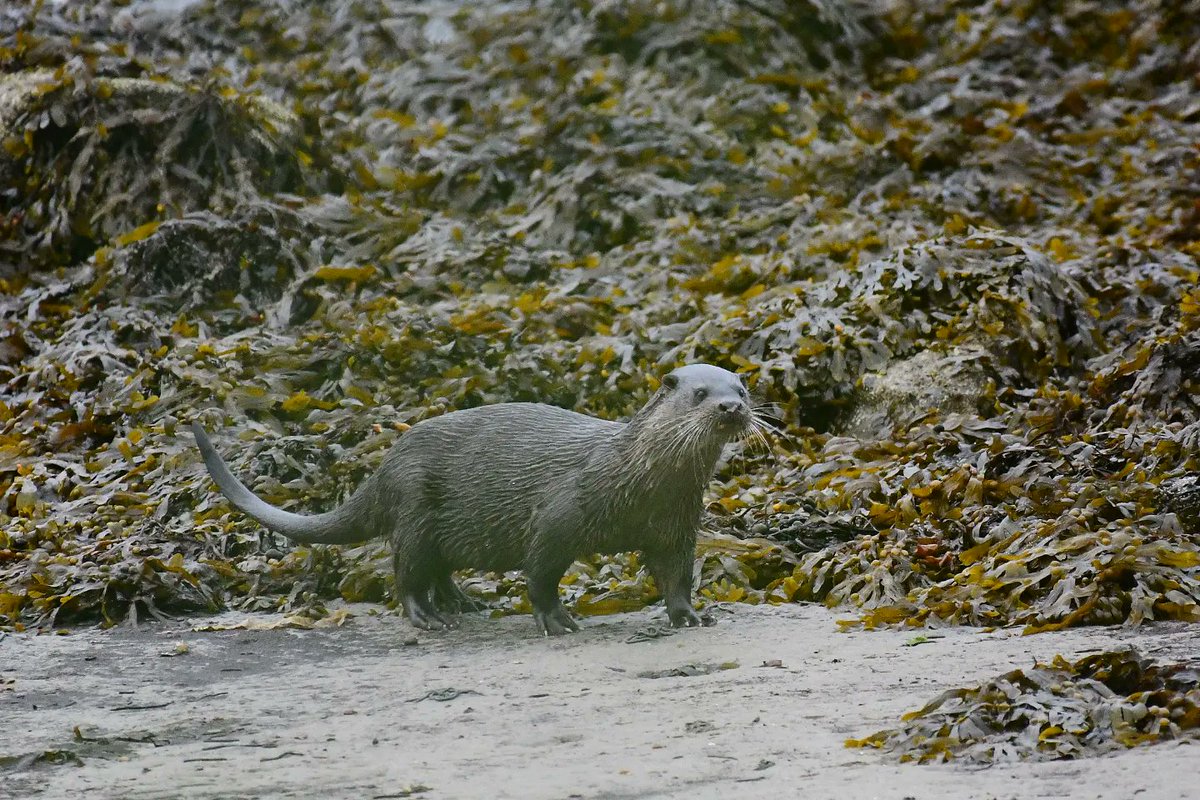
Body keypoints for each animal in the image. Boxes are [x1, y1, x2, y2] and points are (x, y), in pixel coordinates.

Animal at [192, 364, 754, 635]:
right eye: (699, 394)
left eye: (741, 390)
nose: (730, 407)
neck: (636, 480)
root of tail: (387, 464)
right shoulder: (557, 518)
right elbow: (540, 575)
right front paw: (556, 620)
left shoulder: (677, 528)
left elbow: (677, 576)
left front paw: (689, 615)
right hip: (414, 507)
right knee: (406, 573)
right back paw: (429, 617)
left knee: (438, 568)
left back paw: (465, 602)